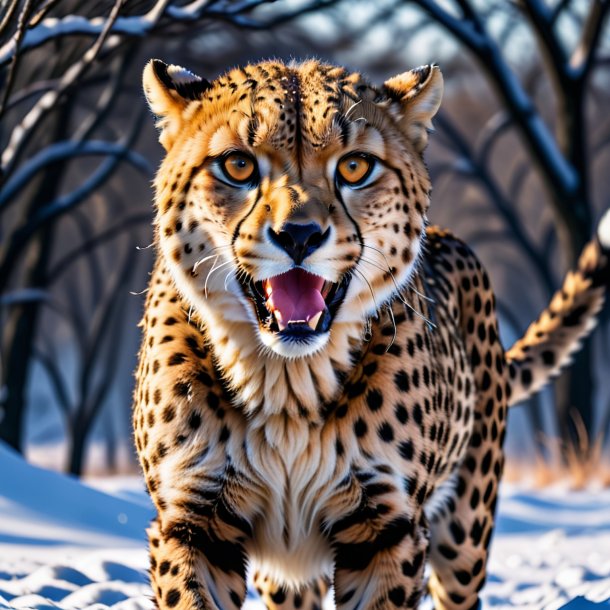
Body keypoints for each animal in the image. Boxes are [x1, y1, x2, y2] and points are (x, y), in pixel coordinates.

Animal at [134, 58, 608, 608]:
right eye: (238, 165)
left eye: (355, 168)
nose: (299, 235)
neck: (289, 386)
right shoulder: (193, 522)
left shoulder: (387, 528)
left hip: (465, 532)